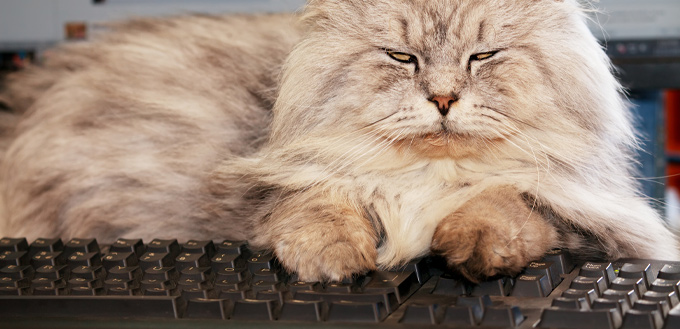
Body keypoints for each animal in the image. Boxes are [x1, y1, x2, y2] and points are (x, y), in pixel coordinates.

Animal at [1, 0, 680, 282]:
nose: (442, 100)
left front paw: (470, 244)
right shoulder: (285, 186)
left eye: (482, 56)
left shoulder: (587, 215)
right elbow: (319, 207)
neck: (426, 176)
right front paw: (334, 259)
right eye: (402, 58)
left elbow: (505, 204)